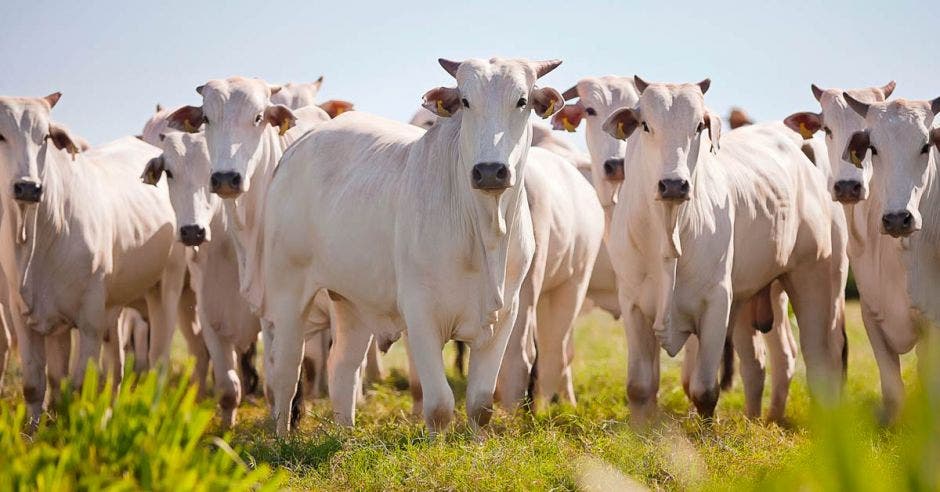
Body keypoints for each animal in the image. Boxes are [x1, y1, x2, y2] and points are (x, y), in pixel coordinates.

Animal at [0, 93, 189, 422]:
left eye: (45, 136)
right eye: (0, 135)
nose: (28, 187)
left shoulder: (88, 320)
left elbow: (78, 387)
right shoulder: (27, 316)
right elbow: (40, 386)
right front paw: (35, 431)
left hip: (166, 285)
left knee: (158, 359)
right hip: (112, 308)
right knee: (117, 368)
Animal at [258, 57, 564, 434]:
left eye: (522, 101)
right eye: (465, 101)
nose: (490, 171)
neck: (485, 231)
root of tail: (297, 148)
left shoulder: (505, 314)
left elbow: (480, 405)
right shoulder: (420, 313)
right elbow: (439, 406)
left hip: (351, 301)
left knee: (342, 367)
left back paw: (345, 434)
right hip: (287, 293)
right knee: (285, 373)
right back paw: (282, 436)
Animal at [604, 79, 852, 420]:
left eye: (699, 125)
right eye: (645, 125)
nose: (674, 185)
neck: (669, 233)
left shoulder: (716, 303)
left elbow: (704, 391)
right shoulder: (633, 305)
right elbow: (640, 389)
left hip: (817, 281)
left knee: (820, 360)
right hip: (754, 297)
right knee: (764, 361)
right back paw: (762, 419)